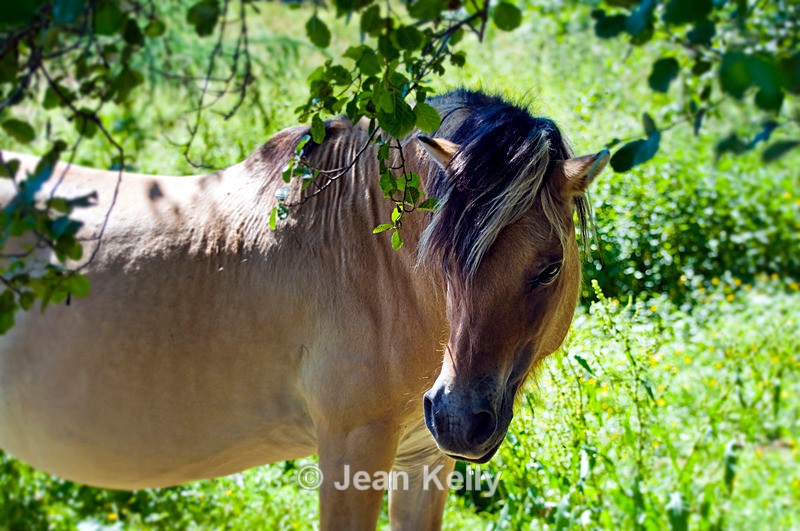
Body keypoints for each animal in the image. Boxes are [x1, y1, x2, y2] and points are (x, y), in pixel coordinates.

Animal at [0, 89, 608, 529]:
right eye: (443, 259)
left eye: (550, 267)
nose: (459, 419)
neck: (361, 251)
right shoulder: (352, 451)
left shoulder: (424, 461)